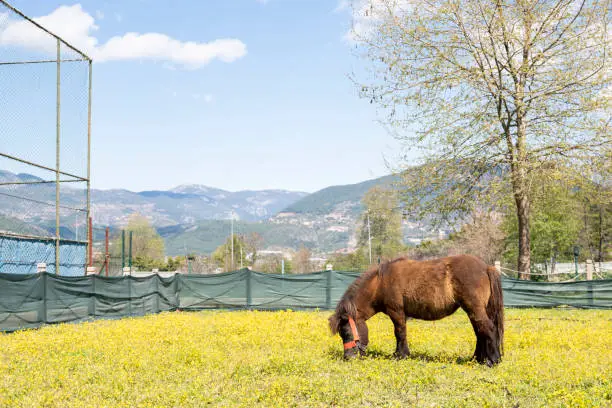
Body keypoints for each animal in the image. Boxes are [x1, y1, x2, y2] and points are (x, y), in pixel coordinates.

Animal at [330, 255, 502, 366]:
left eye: (346, 332)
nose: (348, 357)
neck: (380, 282)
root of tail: (486, 267)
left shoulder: (397, 312)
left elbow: (400, 333)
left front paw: (400, 355)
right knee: (480, 332)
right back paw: (478, 358)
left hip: (474, 309)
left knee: (488, 329)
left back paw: (492, 360)